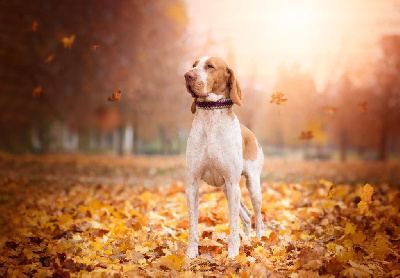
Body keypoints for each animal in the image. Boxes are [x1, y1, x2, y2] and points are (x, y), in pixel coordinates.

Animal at [183, 56, 264, 258]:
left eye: (210, 66)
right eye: (193, 65)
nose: (187, 75)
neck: (211, 118)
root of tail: (251, 133)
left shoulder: (233, 183)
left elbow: (233, 227)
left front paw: (233, 255)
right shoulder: (192, 185)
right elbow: (193, 227)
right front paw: (190, 255)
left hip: (251, 185)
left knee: (258, 217)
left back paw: (260, 241)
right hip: (226, 189)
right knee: (247, 215)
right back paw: (248, 240)